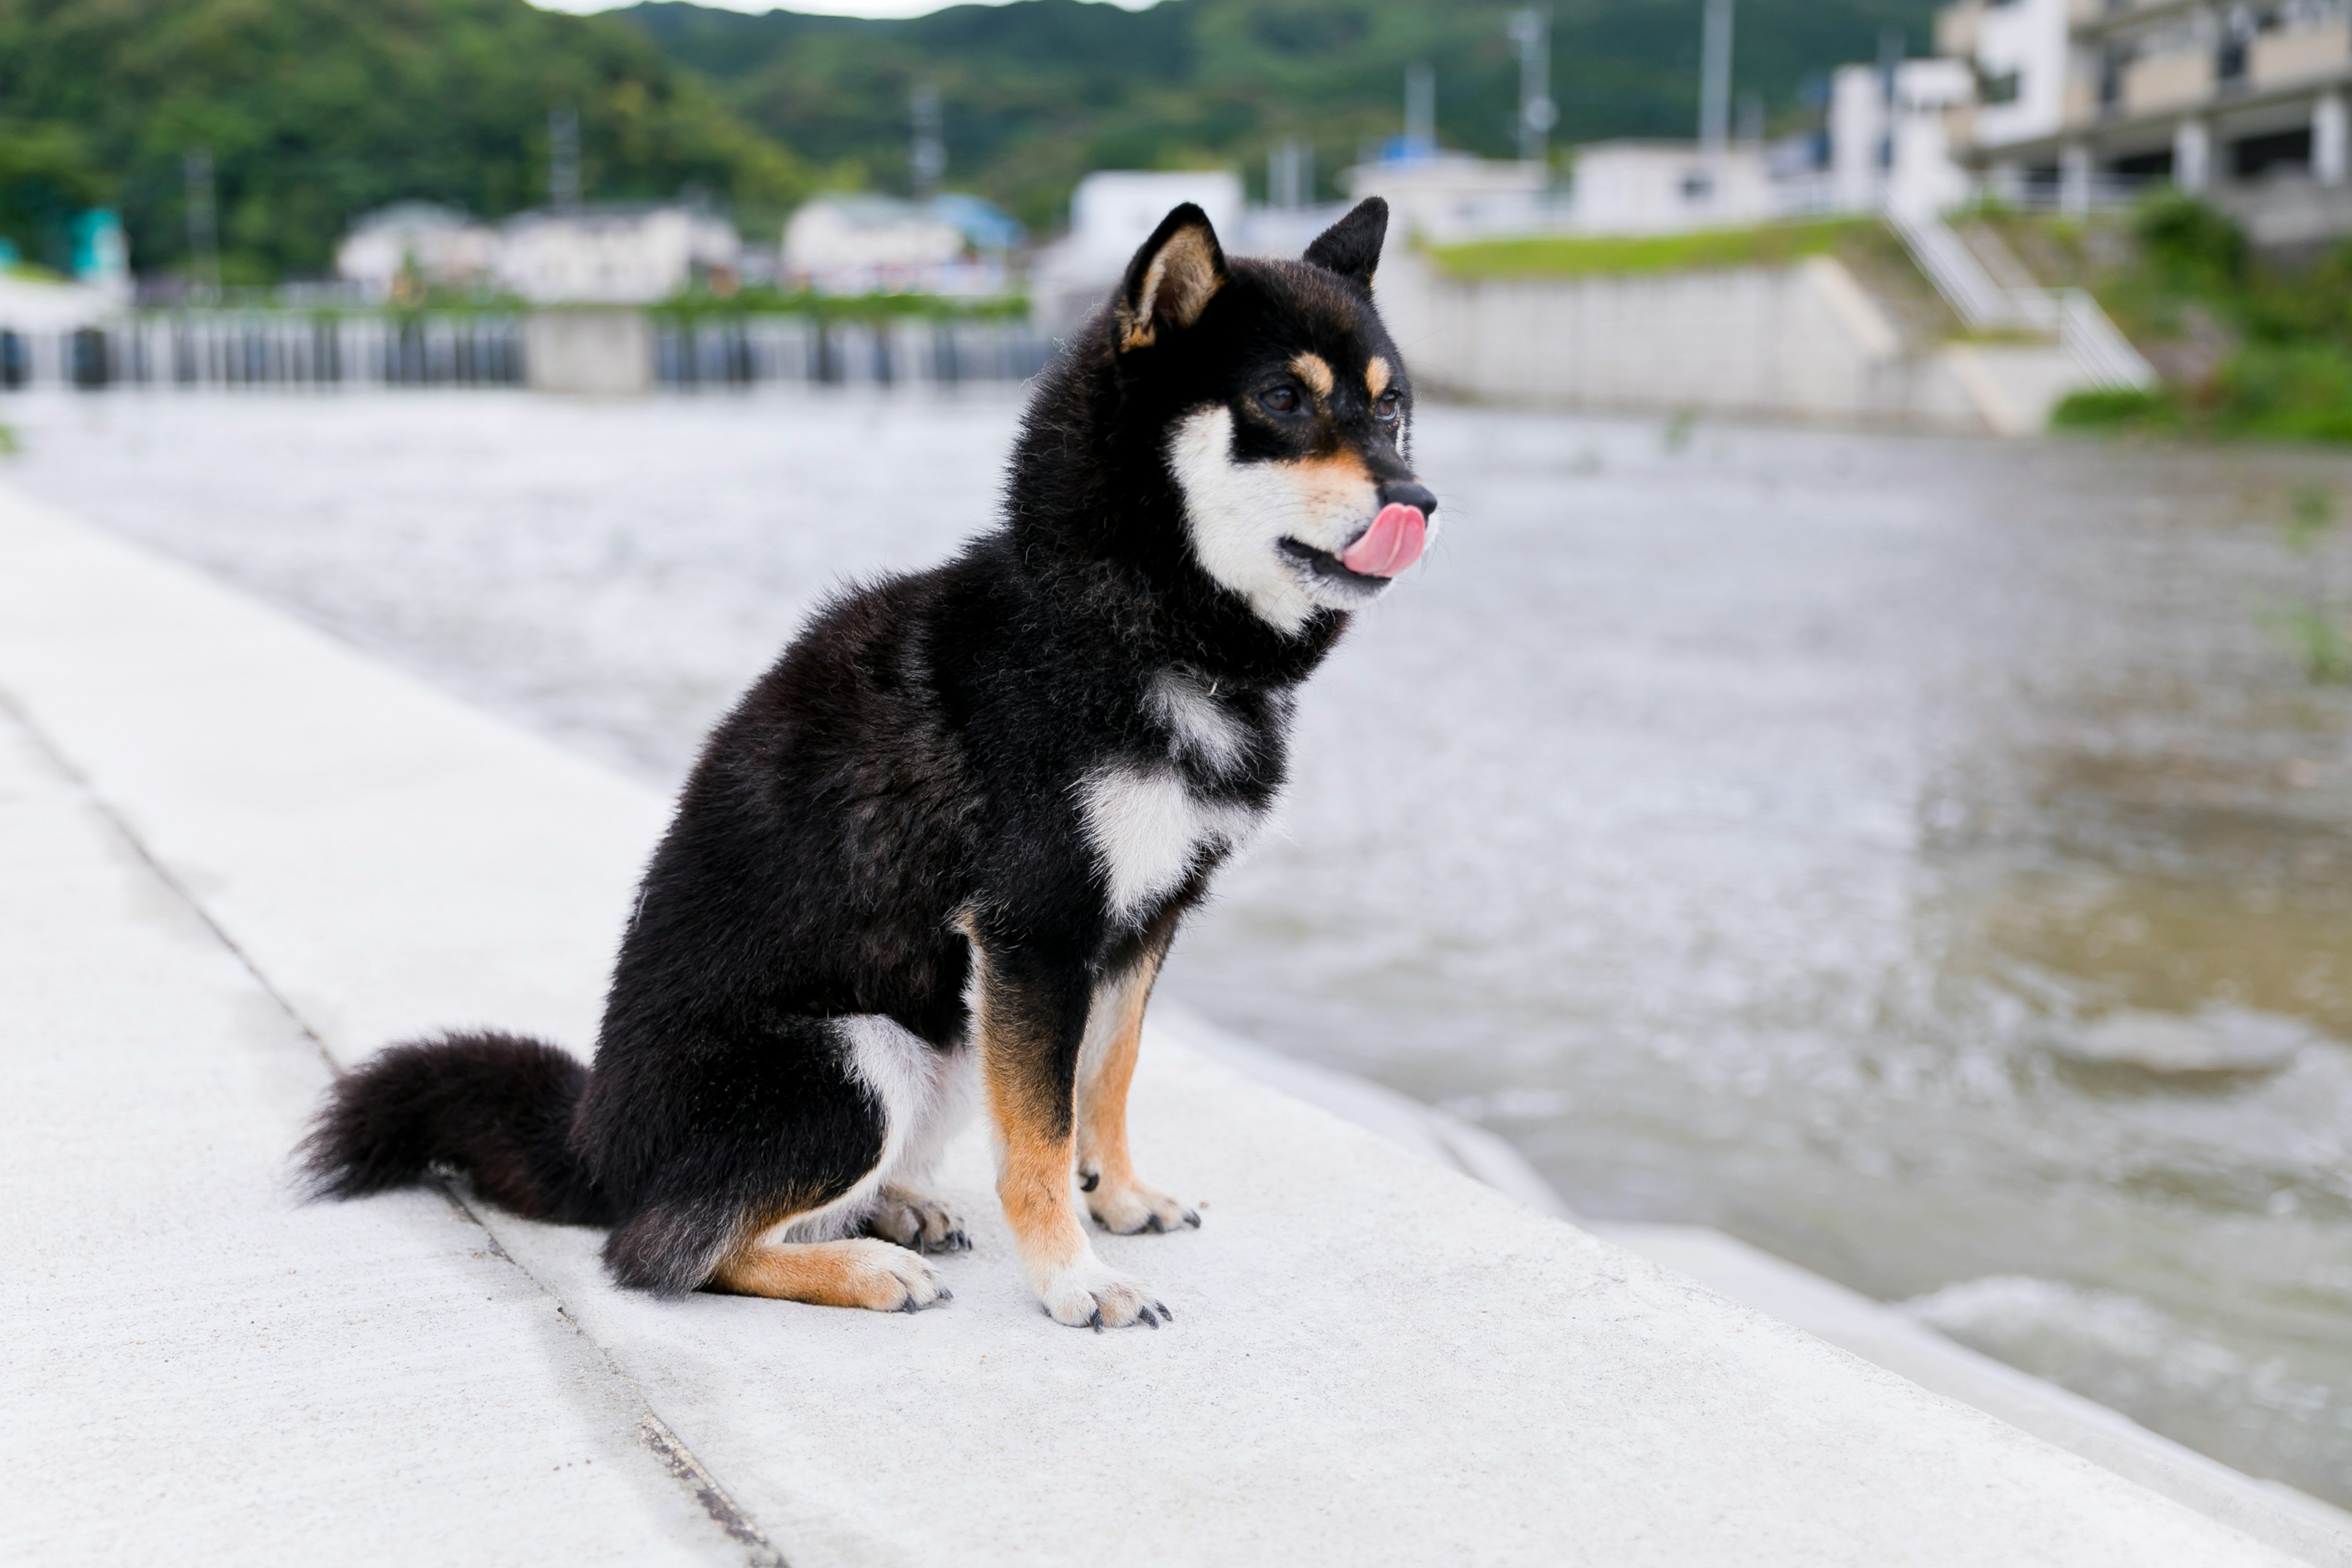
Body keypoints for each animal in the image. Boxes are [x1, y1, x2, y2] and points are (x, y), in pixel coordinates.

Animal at [308, 190, 1430, 1335]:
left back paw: (897, 1212)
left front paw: (1119, 1199)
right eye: (1283, 398)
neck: (1123, 628)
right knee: (667, 1250)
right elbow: (1038, 1136)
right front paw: (1075, 1281)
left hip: (942, 1045)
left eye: (1392, 408)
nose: (1418, 500)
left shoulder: (1144, 918)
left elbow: (1104, 1083)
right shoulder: (1036, 929)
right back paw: (863, 1268)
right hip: (859, 1055)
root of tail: (594, 1148)